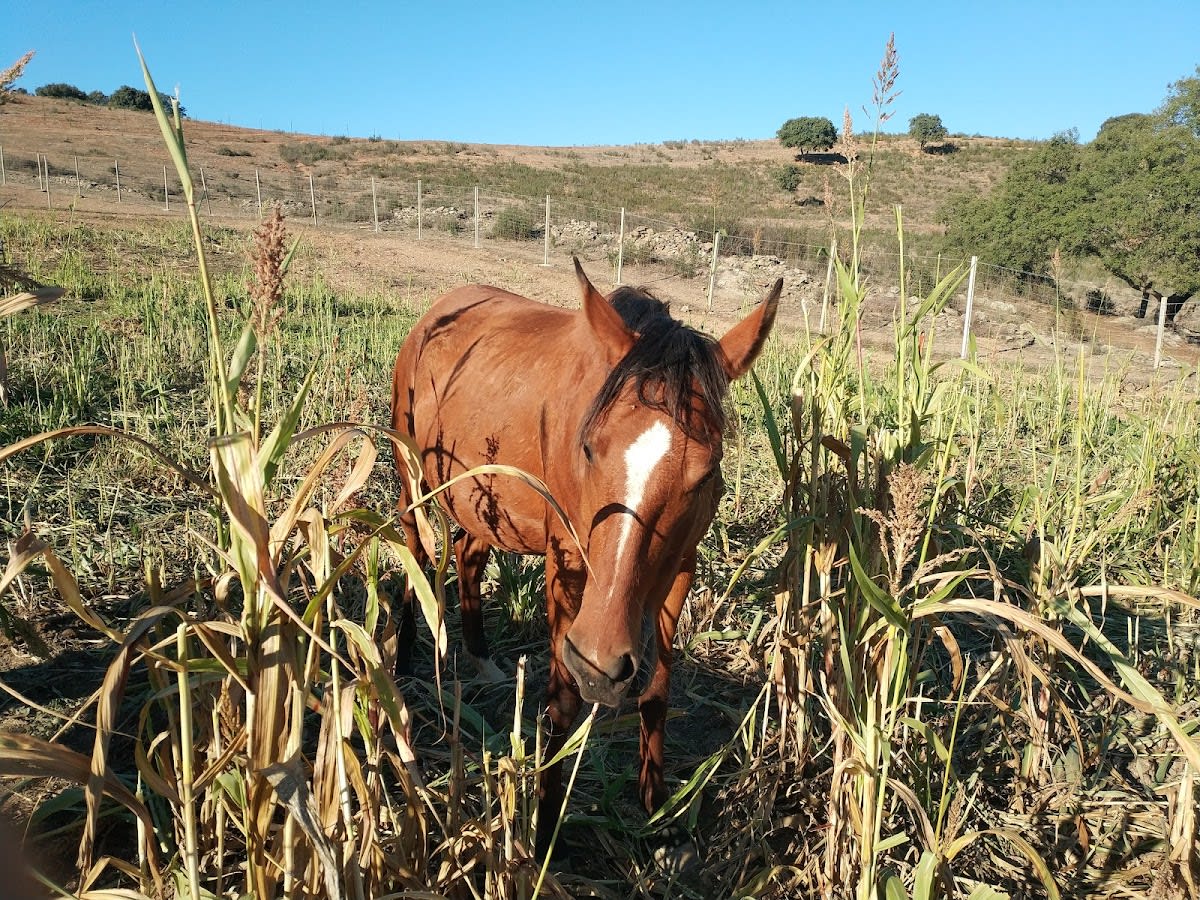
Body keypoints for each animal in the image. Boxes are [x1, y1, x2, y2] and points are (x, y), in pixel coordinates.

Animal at [391, 258, 781, 856]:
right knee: (414, 556)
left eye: (706, 470)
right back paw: (406, 658)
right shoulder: (566, 566)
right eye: (590, 447)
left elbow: (657, 692)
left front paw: (657, 814)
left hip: (487, 500)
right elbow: (563, 704)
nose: (600, 664)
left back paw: (482, 659)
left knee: (468, 557)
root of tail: (436, 314)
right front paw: (543, 833)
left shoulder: (679, 571)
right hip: (413, 481)